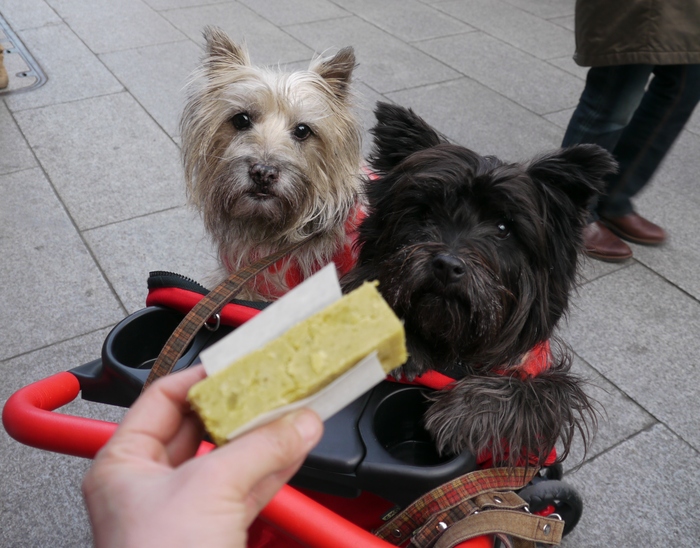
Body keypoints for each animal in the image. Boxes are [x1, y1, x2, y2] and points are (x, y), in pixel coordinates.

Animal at [342, 103, 616, 466]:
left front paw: (461, 413)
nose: (447, 265)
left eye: (503, 228)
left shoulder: (536, 371)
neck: (454, 347)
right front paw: (403, 340)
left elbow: (545, 392)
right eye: (425, 213)